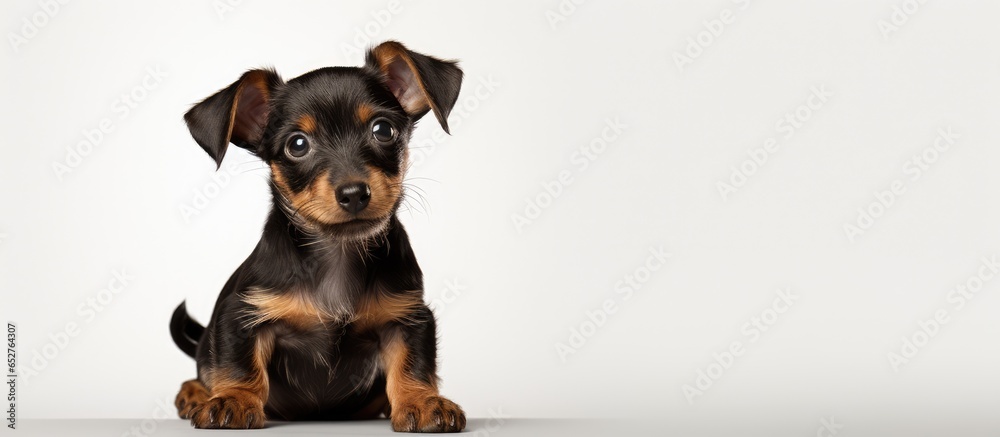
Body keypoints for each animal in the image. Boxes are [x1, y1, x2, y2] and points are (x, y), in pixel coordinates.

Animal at [170, 41, 466, 432]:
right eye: (297, 144)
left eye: (383, 130)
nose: (354, 193)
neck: (337, 251)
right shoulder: (242, 316)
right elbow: (239, 365)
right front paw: (233, 399)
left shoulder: (409, 319)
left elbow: (413, 365)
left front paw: (421, 402)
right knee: (203, 370)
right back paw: (193, 394)